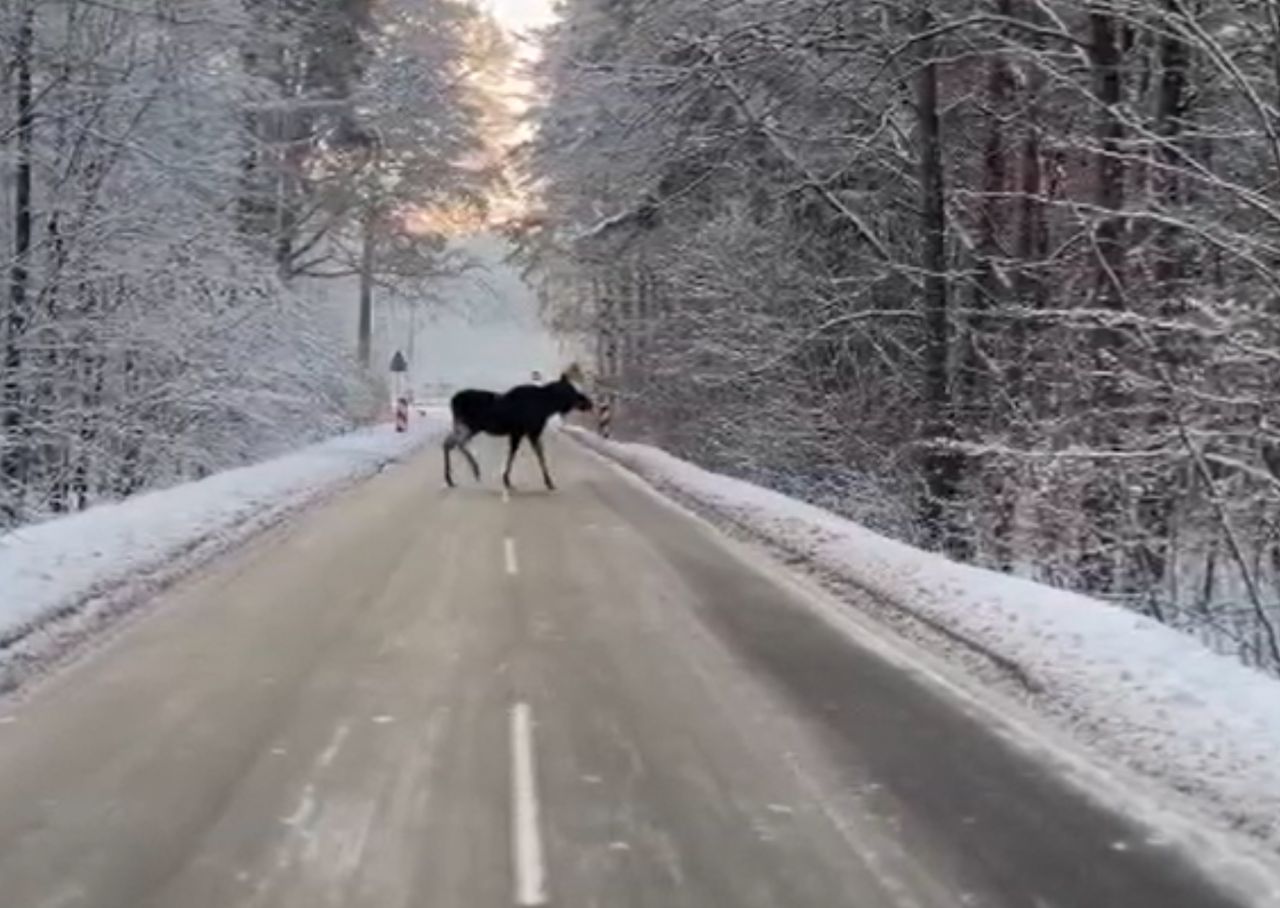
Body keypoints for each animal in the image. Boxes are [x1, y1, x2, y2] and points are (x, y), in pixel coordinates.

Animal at [442, 368, 591, 491]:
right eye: (572, 391)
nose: (588, 403)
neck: (548, 406)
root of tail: (453, 401)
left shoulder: (519, 433)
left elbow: (516, 453)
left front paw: (507, 479)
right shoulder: (530, 432)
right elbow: (538, 455)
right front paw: (548, 482)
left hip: (466, 426)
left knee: (448, 443)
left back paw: (450, 479)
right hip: (471, 425)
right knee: (457, 443)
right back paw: (475, 470)